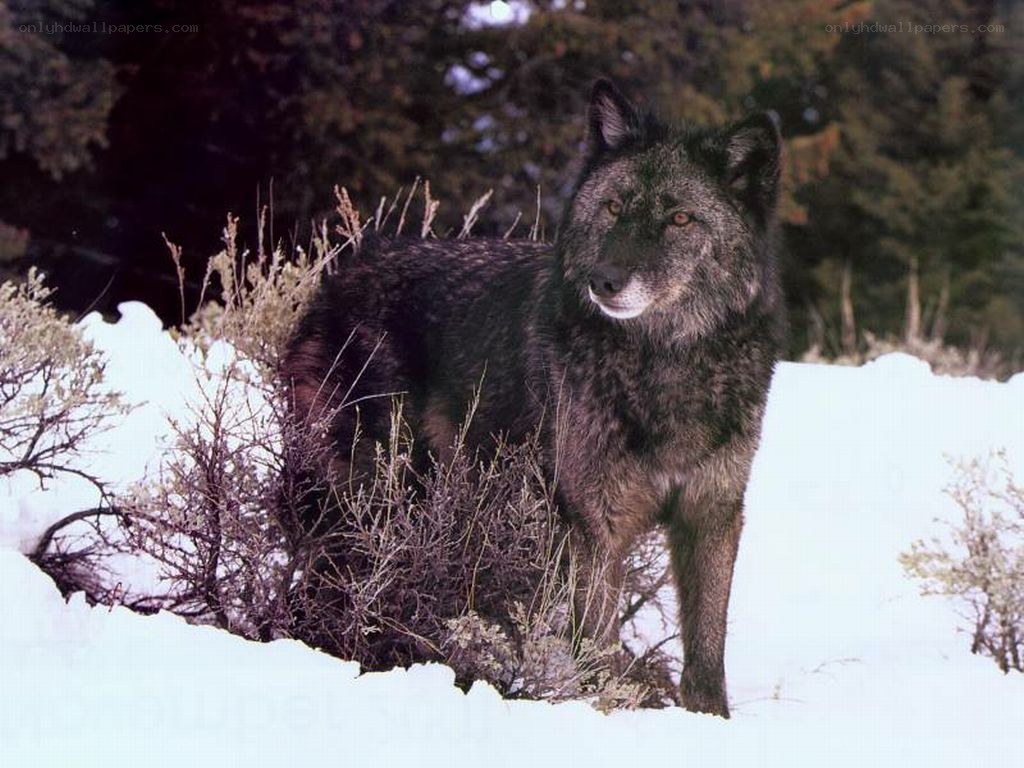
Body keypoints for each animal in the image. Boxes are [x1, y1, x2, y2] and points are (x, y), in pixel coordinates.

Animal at [283, 79, 785, 717]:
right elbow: (597, 647)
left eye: (678, 218)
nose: (605, 281)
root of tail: (340, 278)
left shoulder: (711, 513)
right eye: (613, 208)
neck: (664, 366)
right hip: (374, 498)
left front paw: (710, 722)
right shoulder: (592, 525)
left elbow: (706, 649)